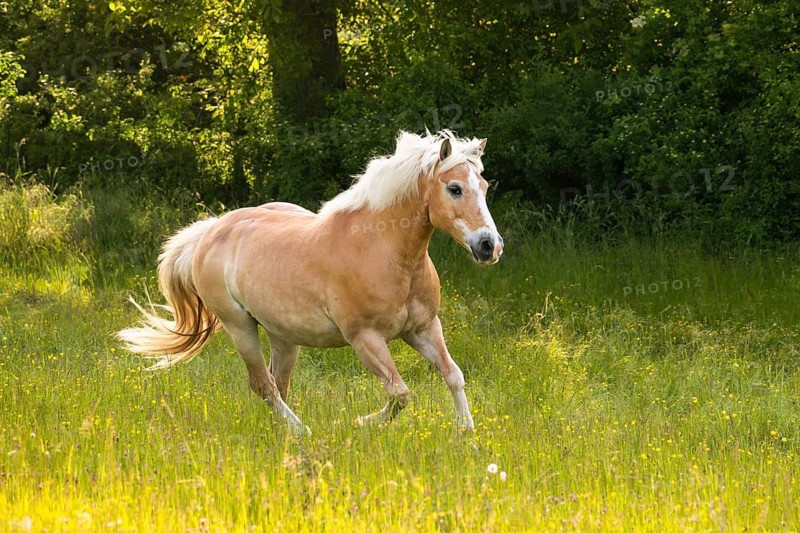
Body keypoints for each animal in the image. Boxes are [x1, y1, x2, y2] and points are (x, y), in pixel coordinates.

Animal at [117, 130, 504, 435]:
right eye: (454, 188)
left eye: (483, 186)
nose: (489, 246)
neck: (383, 249)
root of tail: (211, 230)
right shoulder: (365, 338)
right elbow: (399, 394)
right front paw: (358, 423)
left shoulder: (423, 328)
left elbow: (453, 375)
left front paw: (466, 434)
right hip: (240, 326)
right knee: (264, 385)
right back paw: (303, 432)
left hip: (283, 337)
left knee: (278, 385)